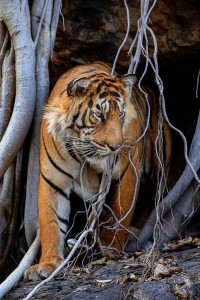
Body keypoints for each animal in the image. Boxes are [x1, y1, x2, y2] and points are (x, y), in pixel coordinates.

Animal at [24, 62, 171, 280]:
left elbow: (119, 215)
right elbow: (50, 222)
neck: (83, 155)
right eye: (100, 115)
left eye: (120, 114)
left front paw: (110, 248)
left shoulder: (127, 173)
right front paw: (48, 264)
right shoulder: (53, 180)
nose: (116, 146)